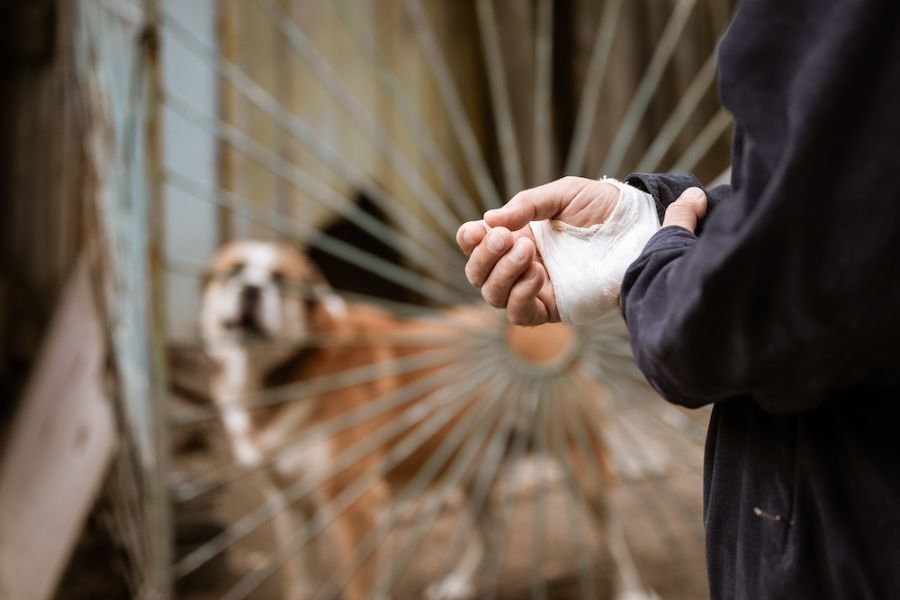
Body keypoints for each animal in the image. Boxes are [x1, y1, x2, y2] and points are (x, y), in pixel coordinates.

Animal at [202, 240, 652, 600]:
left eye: (281, 280)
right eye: (234, 270)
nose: (251, 290)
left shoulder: (358, 506)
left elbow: (360, 588)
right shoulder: (289, 503)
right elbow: (301, 583)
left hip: (584, 466)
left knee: (613, 537)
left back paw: (632, 591)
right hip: (472, 469)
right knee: (490, 530)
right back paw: (460, 584)